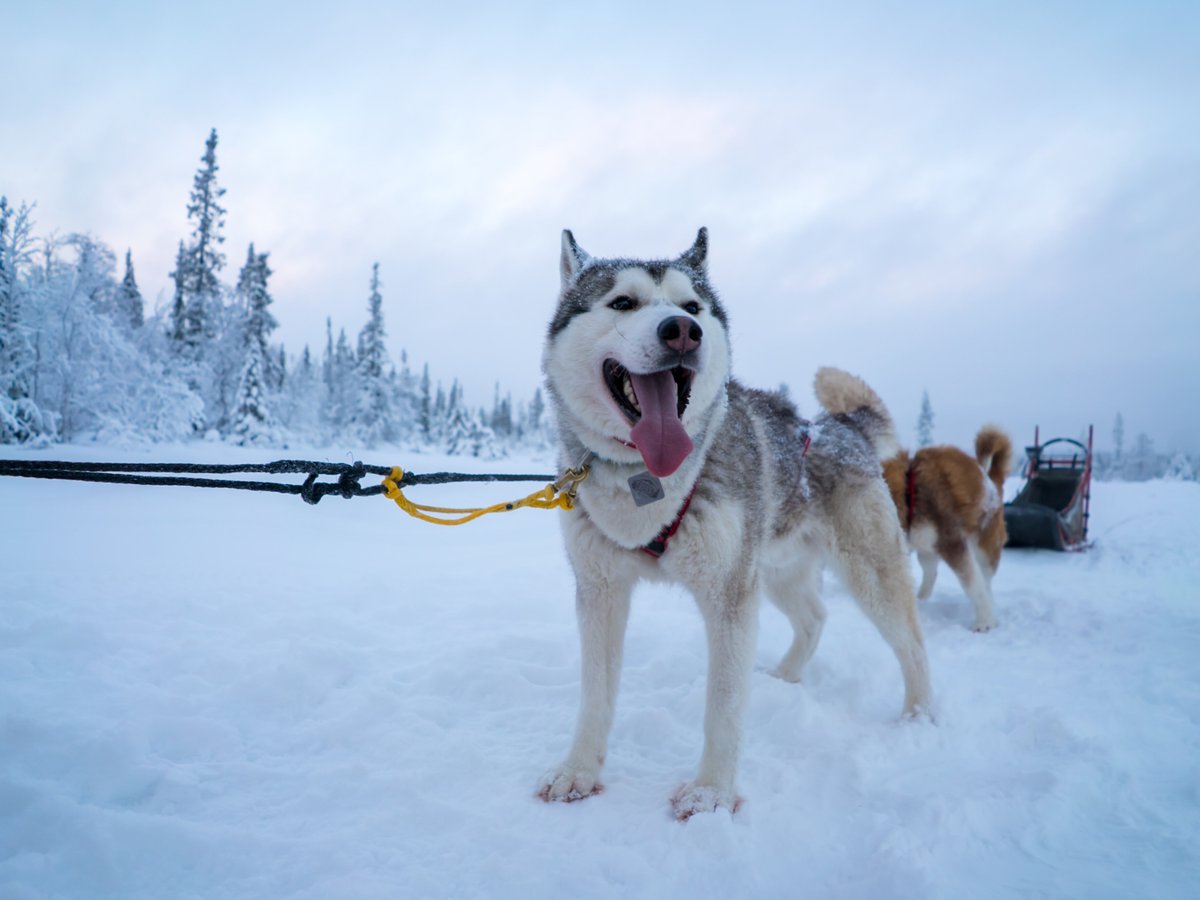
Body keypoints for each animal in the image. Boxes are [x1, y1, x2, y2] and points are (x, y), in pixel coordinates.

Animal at [540, 229, 931, 820]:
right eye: (623, 302)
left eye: (692, 306)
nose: (682, 331)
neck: (646, 481)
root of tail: (840, 426)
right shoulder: (600, 592)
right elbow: (596, 695)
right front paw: (579, 772)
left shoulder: (730, 597)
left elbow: (723, 704)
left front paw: (711, 794)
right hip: (776, 573)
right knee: (815, 617)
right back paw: (787, 678)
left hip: (865, 574)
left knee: (911, 643)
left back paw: (920, 717)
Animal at [883, 429, 1012, 633]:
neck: (910, 491)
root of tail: (991, 478)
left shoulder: (953, 543)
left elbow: (973, 585)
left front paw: (984, 622)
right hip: (924, 546)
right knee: (930, 572)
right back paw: (921, 600)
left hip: (984, 545)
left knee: (985, 579)